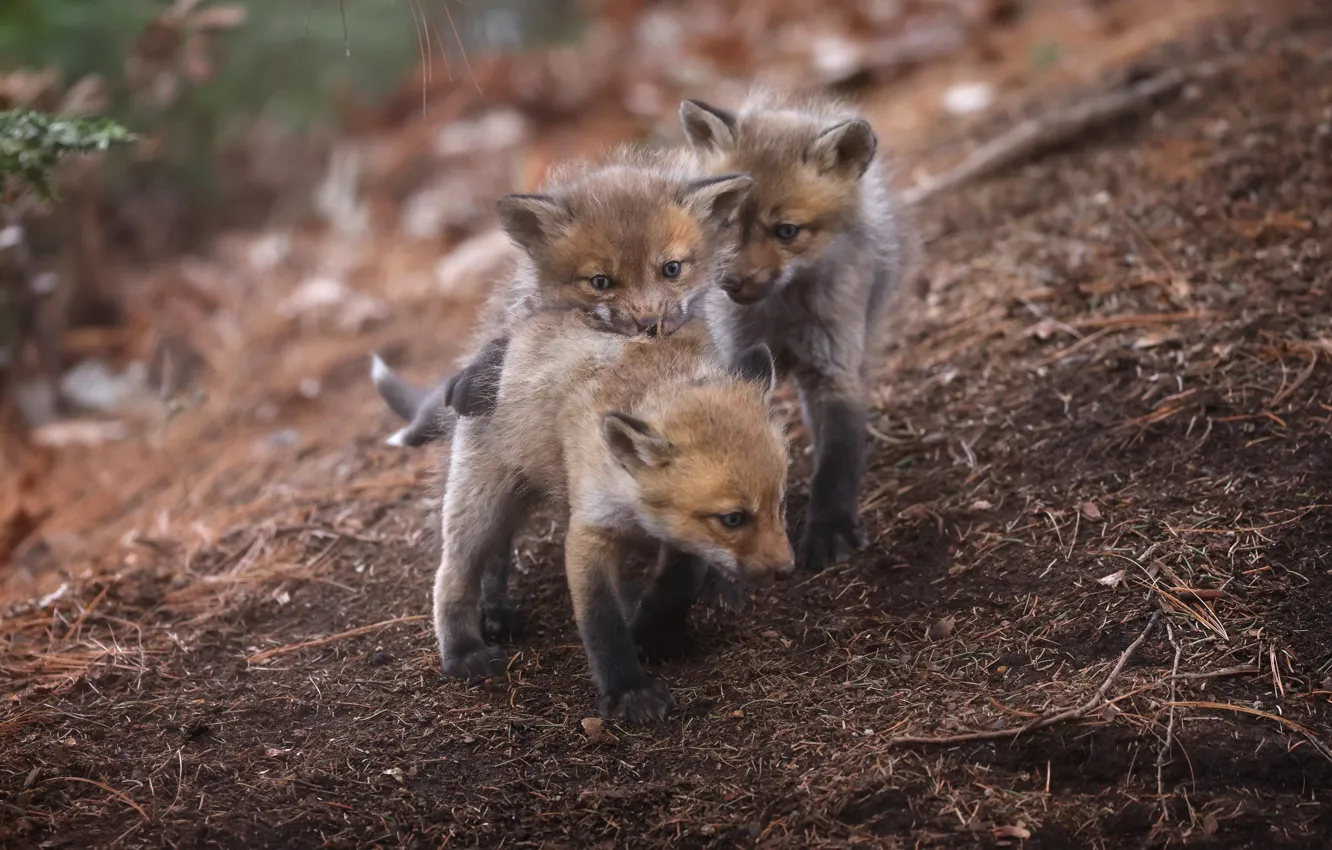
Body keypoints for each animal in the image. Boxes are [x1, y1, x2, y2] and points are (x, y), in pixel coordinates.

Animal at [434, 308, 792, 722]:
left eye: (779, 504)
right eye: (733, 519)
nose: (787, 570)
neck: (636, 509)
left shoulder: (684, 537)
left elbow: (675, 586)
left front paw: (654, 635)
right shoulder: (590, 531)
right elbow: (601, 619)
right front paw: (627, 689)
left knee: (497, 555)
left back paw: (497, 608)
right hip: (482, 505)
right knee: (452, 576)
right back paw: (462, 651)